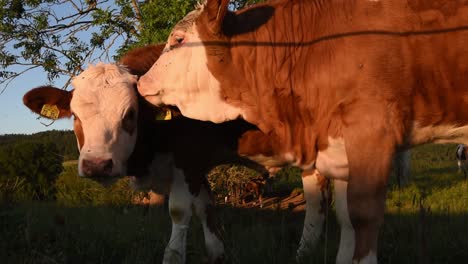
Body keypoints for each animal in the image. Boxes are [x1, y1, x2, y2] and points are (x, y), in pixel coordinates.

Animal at [22, 44, 270, 262]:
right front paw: (217, 254)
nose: (96, 164)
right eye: (75, 114)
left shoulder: (188, 158)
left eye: (131, 113)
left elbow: (180, 211)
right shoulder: (197, 167)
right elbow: (205, 207)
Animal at [138, 1, 468, 262]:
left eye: (179, 39)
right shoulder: (339, 147)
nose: (142, 82)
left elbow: (362, 215)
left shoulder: (371, 130)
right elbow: (345, 216)